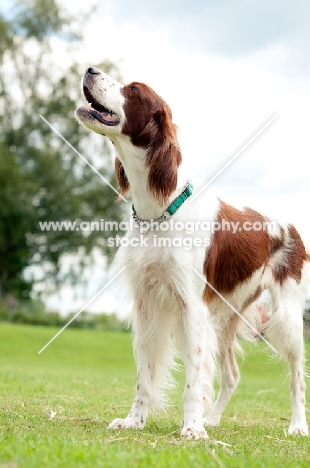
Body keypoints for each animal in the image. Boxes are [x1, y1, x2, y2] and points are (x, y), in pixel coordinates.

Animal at [75, 66, 310, 438]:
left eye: (133, 89)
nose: (90, 69)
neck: (159, 210)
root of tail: (292, 223)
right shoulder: (147, 305)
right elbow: (145, 375)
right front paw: (134, 420)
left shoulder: (191, 307)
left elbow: (193, 378)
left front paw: (192, 428)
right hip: (227, 318)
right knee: (232, 374)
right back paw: (213, 418)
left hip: (286, 315)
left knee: (297, 376)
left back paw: (297, 426)